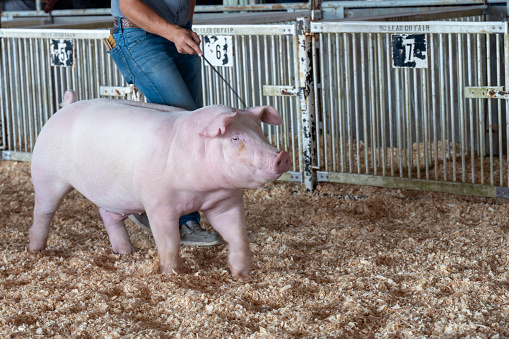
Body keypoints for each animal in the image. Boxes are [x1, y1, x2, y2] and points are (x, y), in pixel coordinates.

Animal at [29, 89, 290, 278]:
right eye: (235, 138)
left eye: (261, 133)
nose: (282, 156)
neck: (203, 190)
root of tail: (66, 106)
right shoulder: (158, 204)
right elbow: (169, 241)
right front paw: (172, 274)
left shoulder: (225, 202)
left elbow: (237, 234)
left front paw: (240, 273)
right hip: (46, 174)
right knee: (43, 212)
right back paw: (35, 249)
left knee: (108, 215)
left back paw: (126, 252)